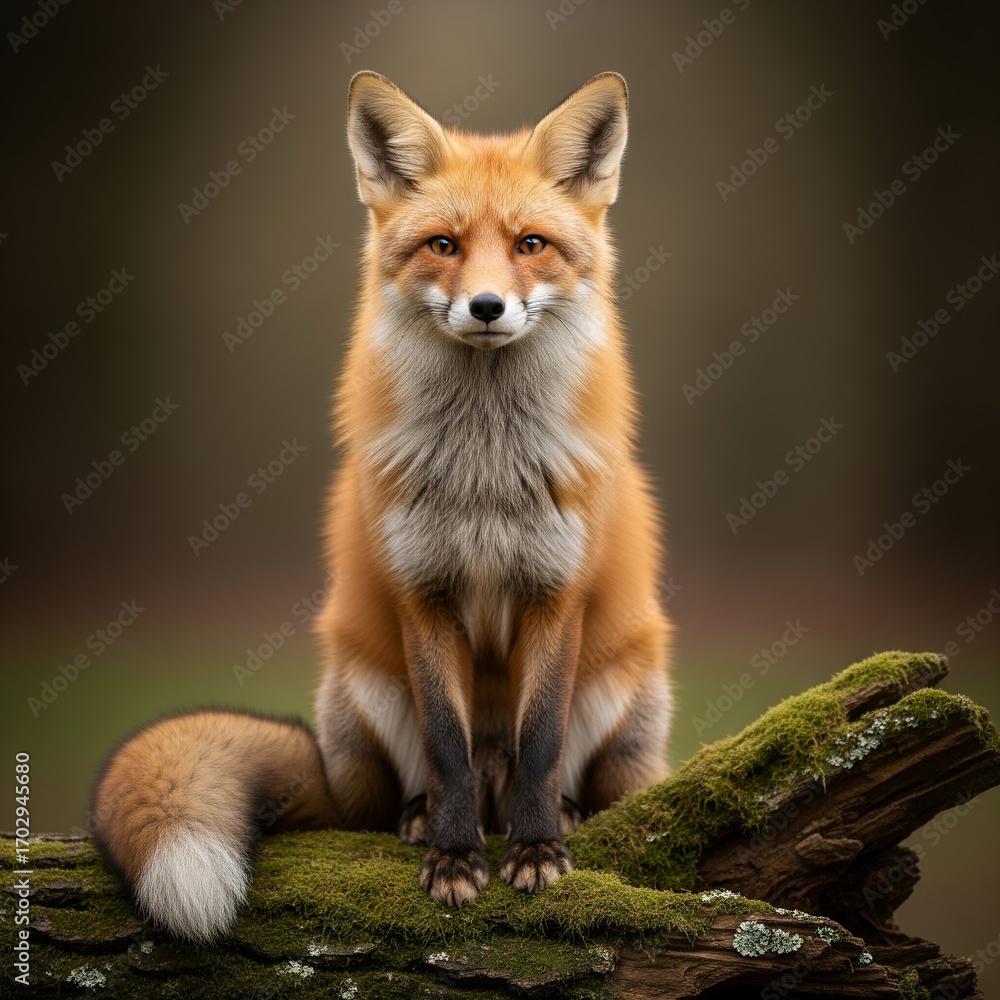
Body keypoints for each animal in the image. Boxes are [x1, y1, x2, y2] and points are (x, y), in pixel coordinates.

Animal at [91, 70, 672, 943]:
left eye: (531, 245)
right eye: (444, 246)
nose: (488, 307)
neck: (483, 473)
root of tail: (337, 774)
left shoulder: (555, 590)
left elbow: (538, 742)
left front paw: (536, 851)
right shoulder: (420, 593)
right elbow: (447, 746)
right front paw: (455, 859)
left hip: (621, 688)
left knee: (555, 771)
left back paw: (555, 815)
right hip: (363, 685)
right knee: (415, 786)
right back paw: (420, 819)